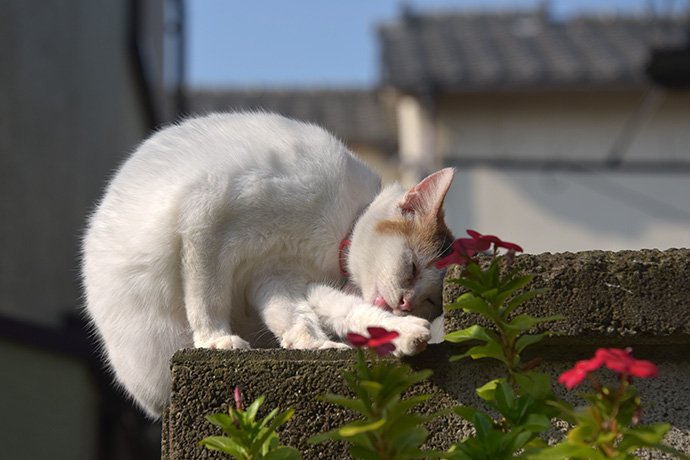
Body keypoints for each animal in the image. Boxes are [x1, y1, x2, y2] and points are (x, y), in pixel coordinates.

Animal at [80, 111, 454, 416]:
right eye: (412, 267)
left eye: (430, 302)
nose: (405, 303)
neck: (339, 230)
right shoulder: (206, 218)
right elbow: (207, 296)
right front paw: (215, 340)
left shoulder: (281, 279)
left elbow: (314, 318)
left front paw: (331, 344)